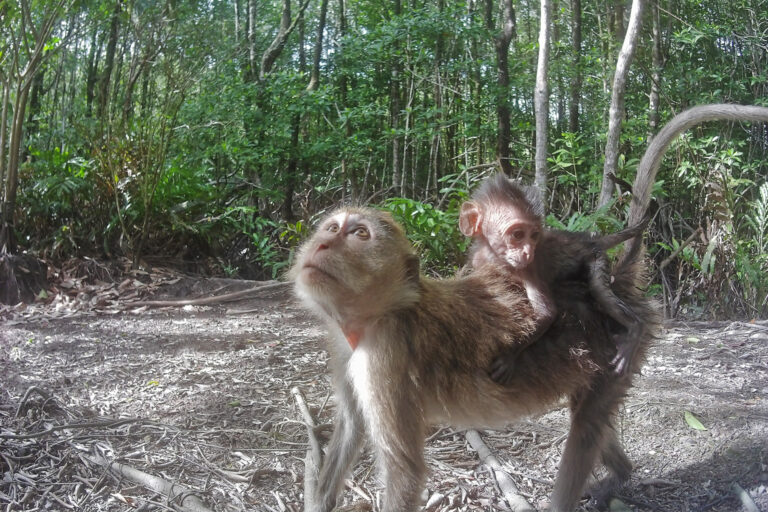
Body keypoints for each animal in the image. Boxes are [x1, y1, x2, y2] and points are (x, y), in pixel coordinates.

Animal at [460, 174, 652, 378]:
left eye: (534, 235)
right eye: (518, 234)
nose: (528, 252)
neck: (496, 257)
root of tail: (588, 239)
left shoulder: (528, 268)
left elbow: (547, 313)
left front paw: (509, 356)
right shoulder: (478, 259)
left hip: (596, 258)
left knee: (599, 290)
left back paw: (635, 328)